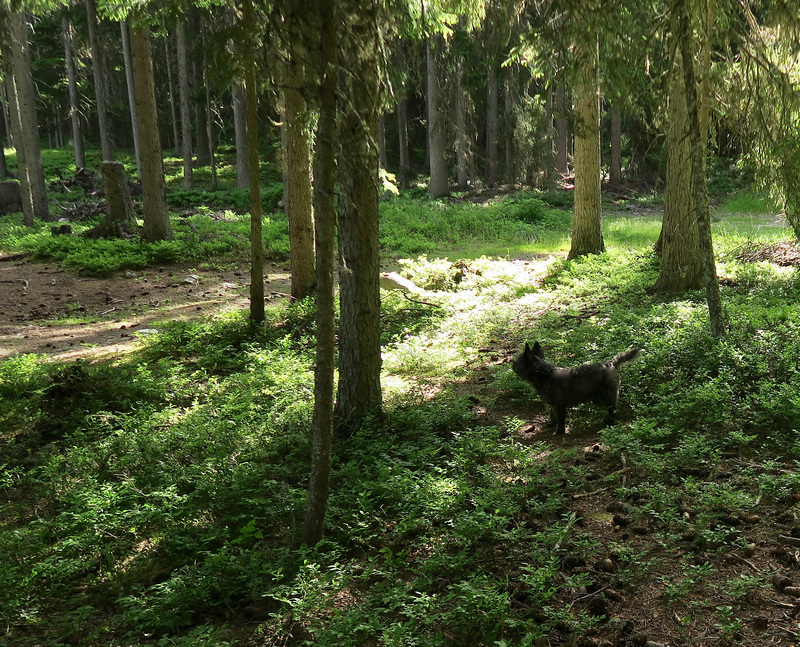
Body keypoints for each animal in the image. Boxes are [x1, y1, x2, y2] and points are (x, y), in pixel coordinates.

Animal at [512, 344, 644, 436]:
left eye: (518, 361)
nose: (512, 365)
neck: (545, 374)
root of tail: (610, 364)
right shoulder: (552, 405)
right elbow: (552, 415)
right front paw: (551, 424)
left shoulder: (559, 405)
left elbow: (560, 418)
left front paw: (559, 431)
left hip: (608, 396)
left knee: (613, 410)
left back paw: (609, 422)